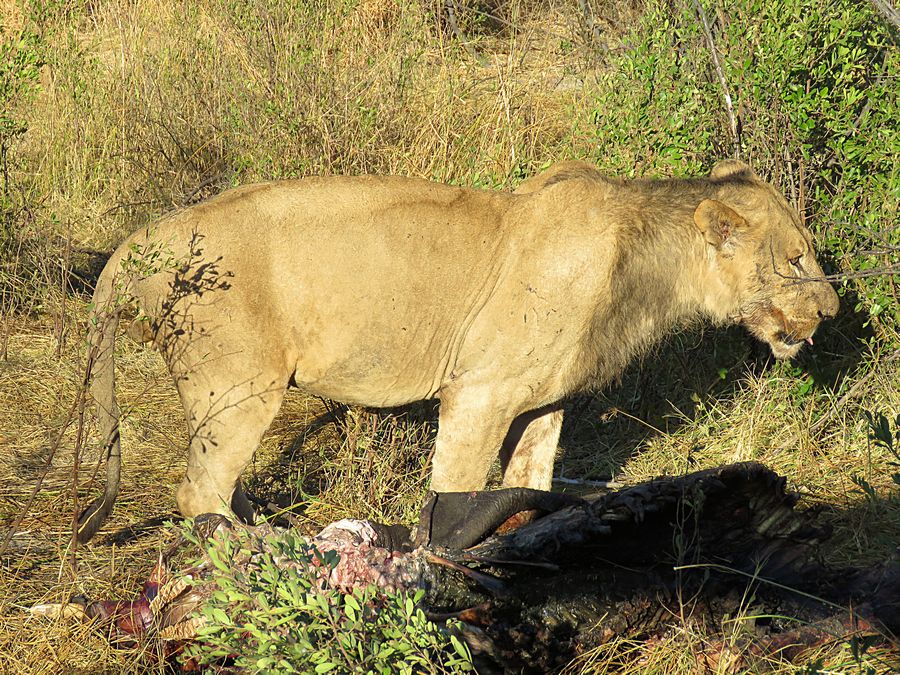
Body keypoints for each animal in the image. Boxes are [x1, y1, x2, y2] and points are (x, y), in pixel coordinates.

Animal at [74, 160, 840, 544]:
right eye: (797, 258)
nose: (833, 310)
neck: (644, 266)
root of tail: (141, 240)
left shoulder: (544, 401)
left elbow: (530, 480)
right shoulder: (480, 390)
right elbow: (454, 494)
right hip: (238, 384)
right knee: (197, 488)